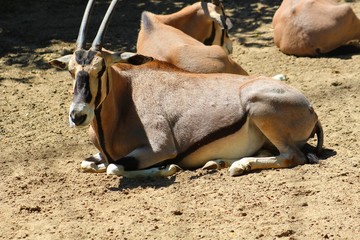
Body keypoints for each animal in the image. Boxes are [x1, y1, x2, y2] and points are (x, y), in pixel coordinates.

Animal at [50, 0, 324, 178]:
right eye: (71, 71)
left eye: (101, 68)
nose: (78, 115)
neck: (127, 99)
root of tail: (310, 108)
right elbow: (90, 163)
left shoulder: (160, 148)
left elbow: (114, 167)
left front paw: (167, 168)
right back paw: (218, 162)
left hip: (259, 108)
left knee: (292, 156)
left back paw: (238, 166)